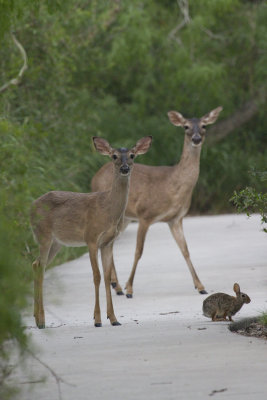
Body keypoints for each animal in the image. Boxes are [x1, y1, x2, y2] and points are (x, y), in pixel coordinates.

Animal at [30, 135, 153, 328]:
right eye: (114, 156)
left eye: (132, 155)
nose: (125, 168)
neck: (107, 210)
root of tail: (30, 207)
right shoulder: (91, 238)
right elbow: (97, 276)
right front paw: (97, 319)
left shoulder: (108, 242)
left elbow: (107, 276)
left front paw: (114, 319)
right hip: (44, 236)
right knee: (41, 268)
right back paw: (41, 320)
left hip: (57, 243)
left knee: (36, 265)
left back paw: (36, 317)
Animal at [92, 106, 224, 296]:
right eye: (185, 126)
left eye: (204, 125)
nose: (196, 138)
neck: (173, 185)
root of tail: (94, 178)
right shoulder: (145, 215)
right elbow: (138, 251)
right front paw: (130, 288)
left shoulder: (176, 219)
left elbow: (185, 250)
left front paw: (200, 286)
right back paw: (118, 286)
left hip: (124, 218)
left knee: (111, 244)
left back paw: (116, 285)